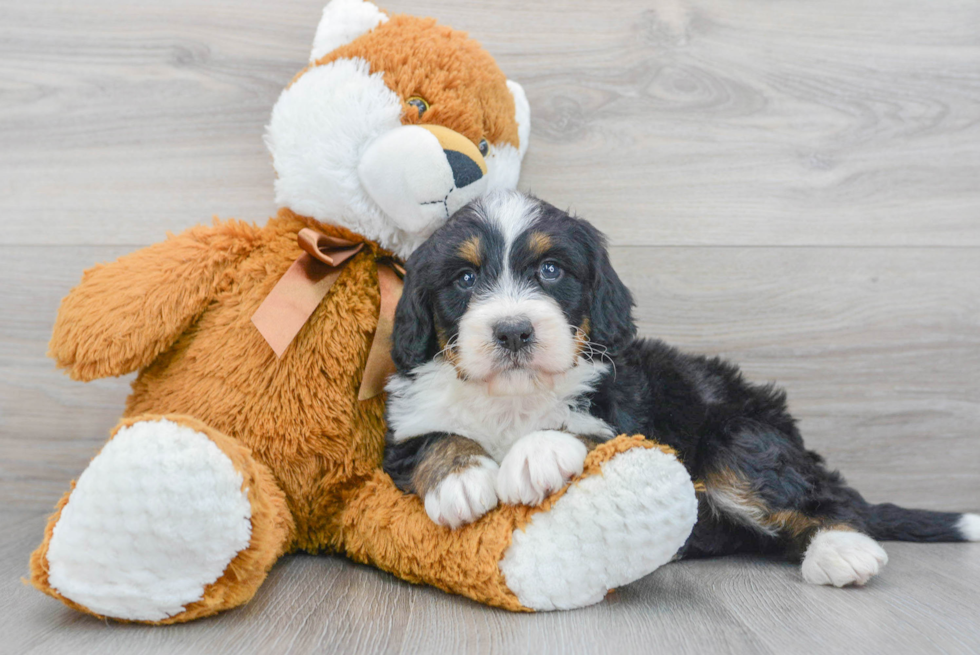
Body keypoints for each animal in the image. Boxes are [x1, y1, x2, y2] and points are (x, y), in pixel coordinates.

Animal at [384, 190, 980, 588]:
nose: (512, 330)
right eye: (464, 279)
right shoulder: (402, 425)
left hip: (741, 439)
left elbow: (588, 433)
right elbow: (432, 438)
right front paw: (461, 478)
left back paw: (843, 548)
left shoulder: (633, 419)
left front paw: (537, 453)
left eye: (551, 270)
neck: (514, 396)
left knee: (827, 496)